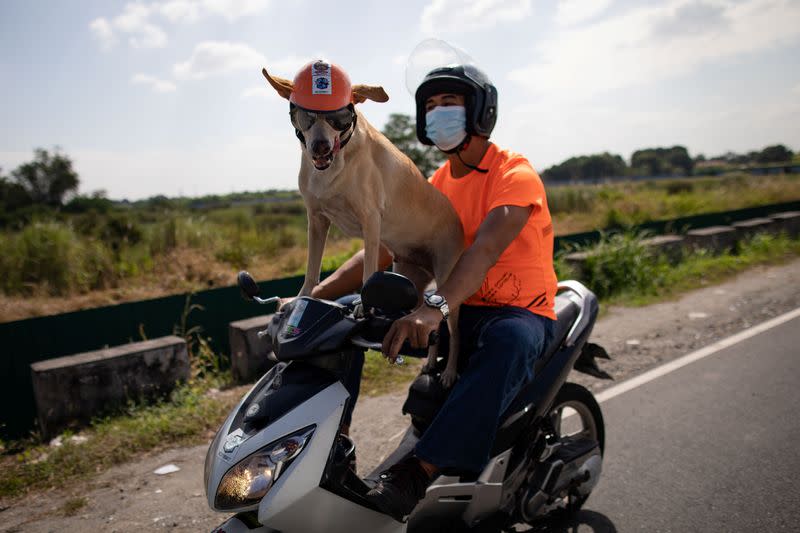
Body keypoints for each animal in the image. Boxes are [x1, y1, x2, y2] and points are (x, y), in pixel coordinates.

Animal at [260, 61, 462, 386]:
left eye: (339, 118)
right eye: (304, 115)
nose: (319, 147)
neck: (337, 163)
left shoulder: (370, 220)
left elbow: (368, 275)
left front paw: (363, 308)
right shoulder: (316, 220)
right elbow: (311, 272)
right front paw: (298, 301)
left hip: (446, 281)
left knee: (451, 329)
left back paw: (449, 371)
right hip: (409, 274)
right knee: (427, 324)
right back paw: (431, 363)